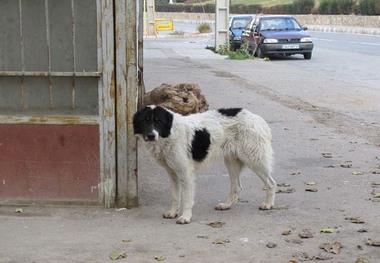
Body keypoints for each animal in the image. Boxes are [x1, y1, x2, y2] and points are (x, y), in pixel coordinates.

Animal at [134, 105, 276, 225]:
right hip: (231, 162)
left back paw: (268, 204)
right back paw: (226, 205)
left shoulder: (186, 173)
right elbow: (175, 196)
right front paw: (173, 212)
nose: (151, 135)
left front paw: (186, 217)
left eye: (159, 121)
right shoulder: (172, 173)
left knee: (271, 183)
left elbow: (186, 198)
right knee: (237, 187)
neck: (169, 134)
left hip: (255, 160)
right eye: (145, 121)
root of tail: (257, 118)